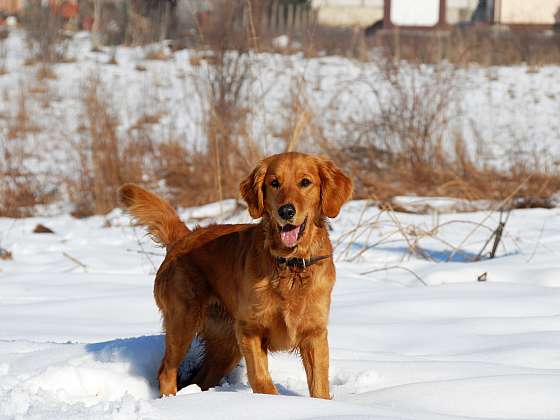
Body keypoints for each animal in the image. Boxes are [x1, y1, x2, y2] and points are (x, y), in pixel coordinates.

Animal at [120, 151, 352, 398]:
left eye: (305, 182)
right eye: (274, 183)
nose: (286, 211)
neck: (291, 265)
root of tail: (183, 238)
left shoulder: (314, 333)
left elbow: (319, 387)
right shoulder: (251, 331)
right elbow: (261, 380)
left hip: (226, 344)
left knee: (201, 378)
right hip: (182, 321)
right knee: (166, 371)